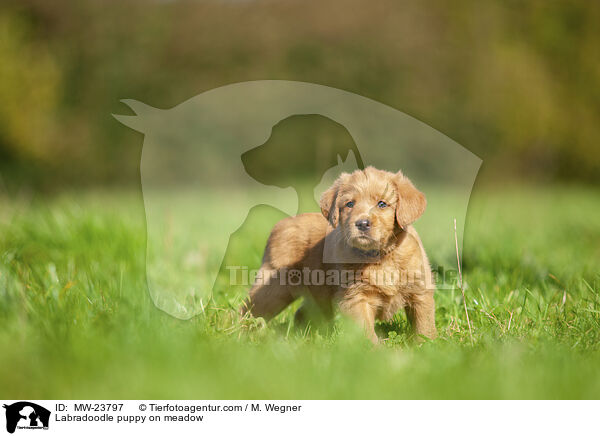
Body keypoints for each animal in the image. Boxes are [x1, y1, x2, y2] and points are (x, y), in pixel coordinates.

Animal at [239, 165, 436, 342]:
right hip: (273, 289)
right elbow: (366, 330)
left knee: (302, 314)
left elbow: (423, 324)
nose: (362, 223)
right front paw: (373, 352)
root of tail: (282, 223)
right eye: (350, 204)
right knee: (247, 310)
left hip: (320, 298)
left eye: (382, 204)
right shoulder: (355, 297)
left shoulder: (420, 291)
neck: (380, 256)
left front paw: (426, 345)